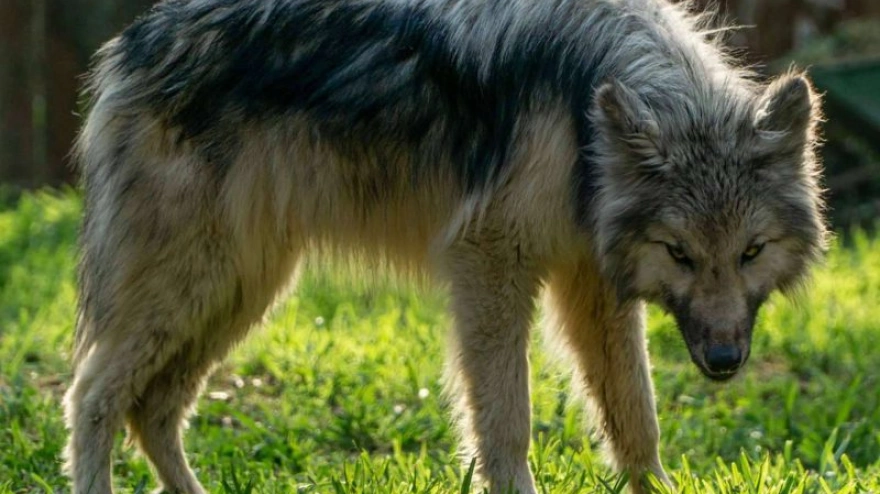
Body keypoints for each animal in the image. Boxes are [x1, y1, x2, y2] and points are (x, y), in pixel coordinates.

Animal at [63, 0, 827, 492]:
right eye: (681, 253)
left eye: (751, 251)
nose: (724, 362)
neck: (585, 102)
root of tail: (129, 44)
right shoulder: (491, 261)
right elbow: (507, 421)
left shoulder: (594, 282)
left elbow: (636, 417)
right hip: (194, 287)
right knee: (92, 396)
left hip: (237, 294)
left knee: (152, 410)